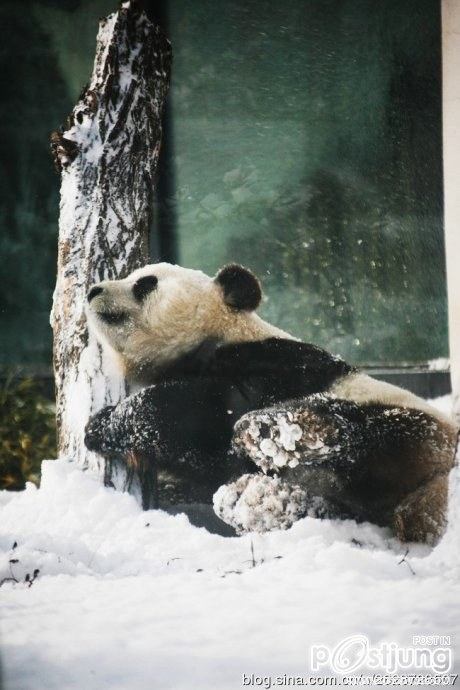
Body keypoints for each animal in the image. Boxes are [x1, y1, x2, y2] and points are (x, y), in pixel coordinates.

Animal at [84, 262, 457, 544]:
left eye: (145, 283)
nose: (93, 291)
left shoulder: (274, 363)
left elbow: (200, 413)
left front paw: (105, 423)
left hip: (408, 431)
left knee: (357, 436)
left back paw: (274, 439)